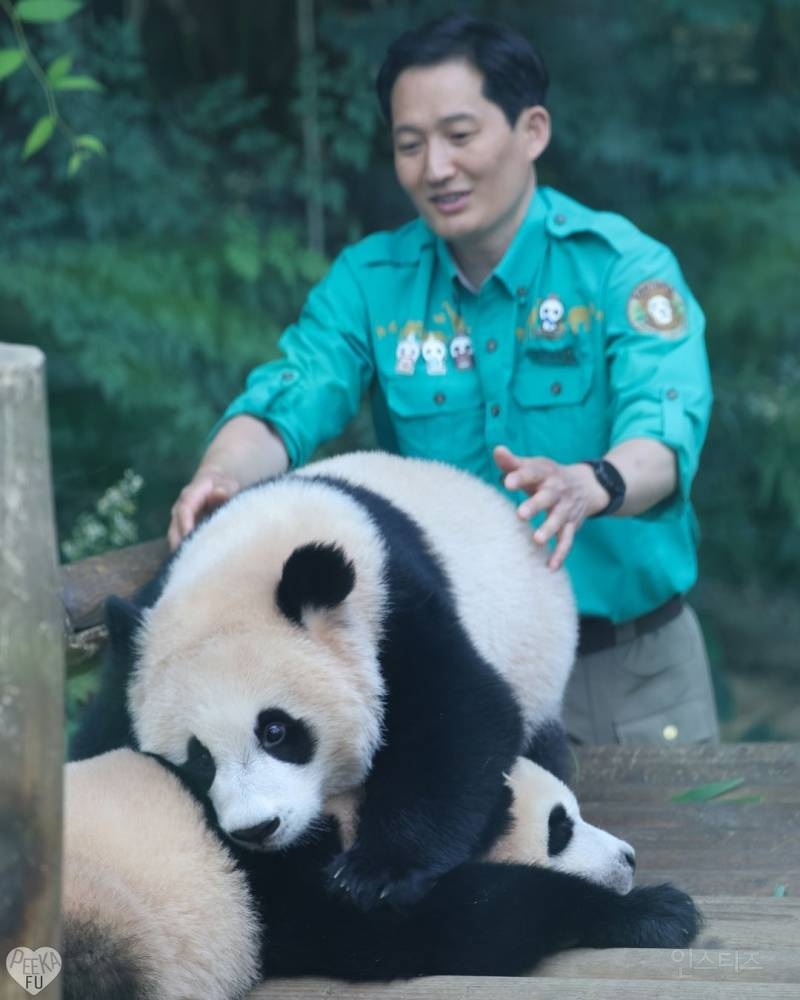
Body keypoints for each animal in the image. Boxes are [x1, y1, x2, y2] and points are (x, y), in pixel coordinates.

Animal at [64, 748, 700, 996]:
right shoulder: (289, 869)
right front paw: (655, 910)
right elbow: (442, 930)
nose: (629, 857)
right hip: (103, 904)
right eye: (559, 828)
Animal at [122, 454, 580, 916]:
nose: (257, 828)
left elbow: (462, 717)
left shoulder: (392, 608)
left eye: (276, 732)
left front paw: (373, 875)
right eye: (199, 759)